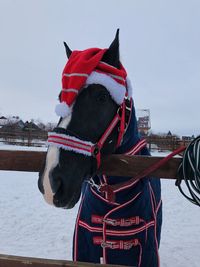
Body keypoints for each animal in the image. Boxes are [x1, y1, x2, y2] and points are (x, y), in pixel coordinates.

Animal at [38, 30, 162, 266]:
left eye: (102, 97)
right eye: (60, 98)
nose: (51, 182)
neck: (112, 196)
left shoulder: (147, 250)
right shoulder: (84, 246)